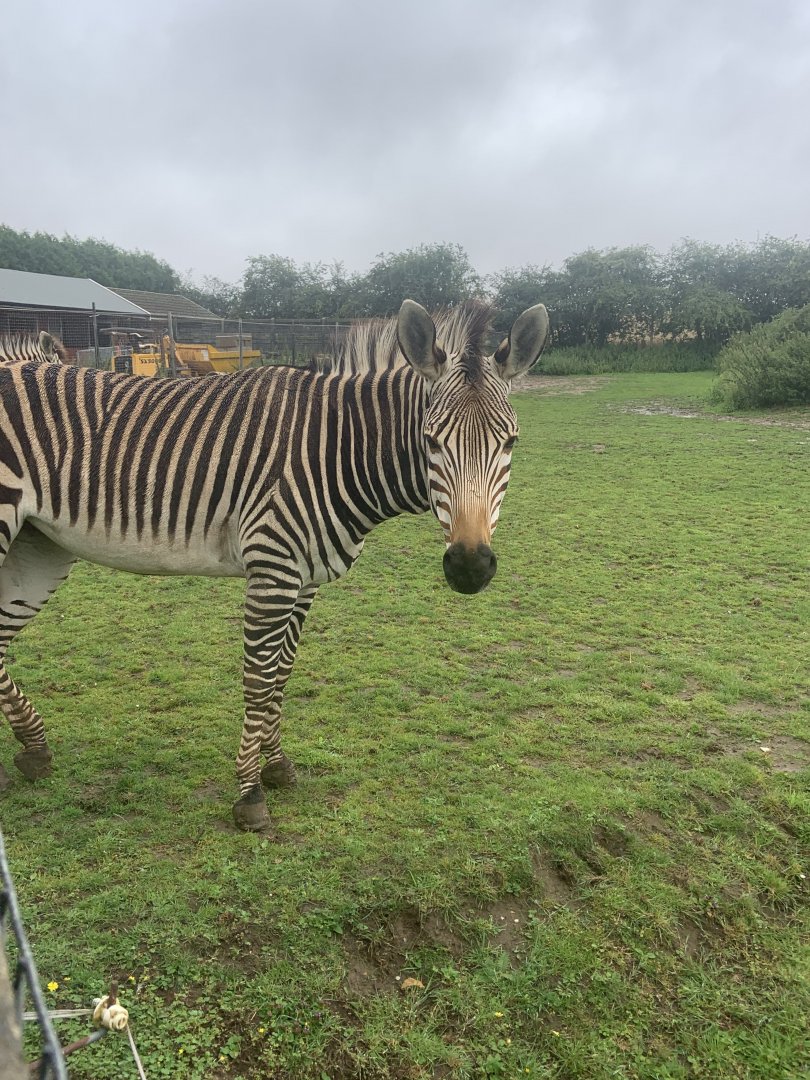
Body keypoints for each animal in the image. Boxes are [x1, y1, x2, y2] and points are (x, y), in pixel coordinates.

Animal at [0, 298, 548, 832]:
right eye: (431, 440)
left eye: (512, 442)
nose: (470, 567)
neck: (336, 450)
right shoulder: (274, 567)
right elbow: (259, 680)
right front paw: (249, 794)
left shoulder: (304, 579)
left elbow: (282, 673)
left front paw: (277, 766)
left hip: (39, 545)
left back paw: (35, 750)